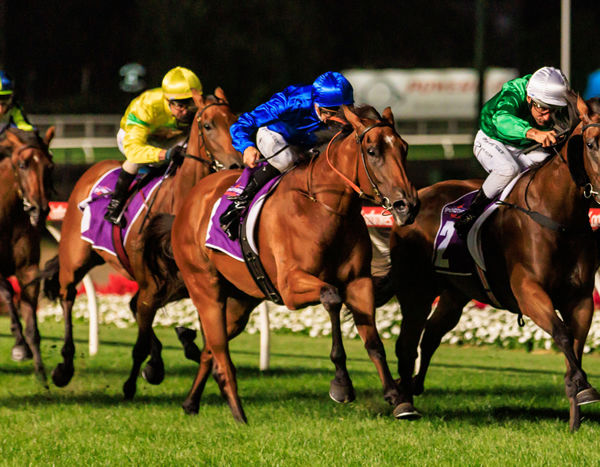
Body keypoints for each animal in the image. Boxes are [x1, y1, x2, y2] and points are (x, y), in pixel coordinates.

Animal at [41, 88, 241, 398]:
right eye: (208, 125)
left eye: (235, 120)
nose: (236, 164)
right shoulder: (154, 282)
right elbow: (143, 334)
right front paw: (134, 380)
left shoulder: (188, 283)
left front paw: (179, 351)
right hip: (75, 259)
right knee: (68, 296)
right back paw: (65, 365)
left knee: (134, 307)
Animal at [152, 105, 420, 424]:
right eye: (372, 150)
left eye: (404, 148)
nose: (408, 205)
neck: (325, 207)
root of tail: (188, 202)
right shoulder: (291, 286)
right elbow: (332, 297)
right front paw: (341, 385)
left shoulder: (359, 281)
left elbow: (374, 342)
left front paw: (398, 398)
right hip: (205, 287)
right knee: (219, 350)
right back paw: (238, 414)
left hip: (241, 300)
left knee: (210, 350)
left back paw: (191, 402)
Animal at [376, 95, 600, 432]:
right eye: (590, 143)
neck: (559, 217)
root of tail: (409, 205)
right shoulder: (528, 291)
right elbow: (561, 333)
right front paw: (581, 386)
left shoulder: (582, 297)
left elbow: (574, 343)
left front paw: (578, 401)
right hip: (416, 291)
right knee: (406, 343)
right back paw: (404, 403)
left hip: (455, 294)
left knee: (431, 334)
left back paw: (415, 385)